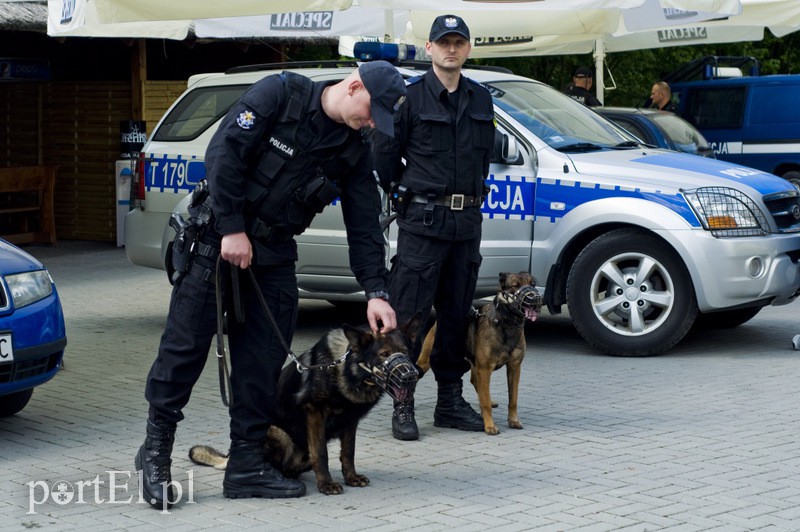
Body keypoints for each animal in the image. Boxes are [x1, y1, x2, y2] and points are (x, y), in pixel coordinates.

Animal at [190, 314, 422, 496]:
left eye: (405, 351)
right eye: (383, 354)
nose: (410, 376)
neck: (347, 371)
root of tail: (229, 458)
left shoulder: (350, 420)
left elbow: (348, 452)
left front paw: (351, 477)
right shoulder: (315, 413)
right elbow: (321, 452)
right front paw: (326, 484)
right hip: (279, 434)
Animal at [416, 274, 540, 436]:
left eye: (533, 285)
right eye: (515, 286)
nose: (533, 298)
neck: (506, 323)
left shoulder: (514, 368)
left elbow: (513, 399)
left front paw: (513, 419)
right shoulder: (485, 369)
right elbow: (485, 401)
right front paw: (489, 425)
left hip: (473, 364)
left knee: (476, 382)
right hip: (426, 361)